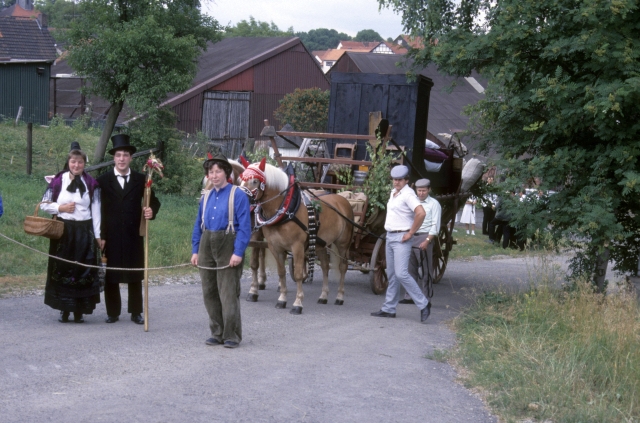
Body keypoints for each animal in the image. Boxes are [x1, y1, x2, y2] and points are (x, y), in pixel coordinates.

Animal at [240, 158, 354, 314]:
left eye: (255, 181)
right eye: (241, 179)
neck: (286, 208)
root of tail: (343, 201)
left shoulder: (297, 247)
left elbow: (299, 273)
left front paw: (298, 303)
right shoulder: (275, 247)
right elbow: (281, 272)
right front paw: (282, 299)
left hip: (343, 244)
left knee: (343, 267)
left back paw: (339, 296)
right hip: (320, 244)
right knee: (325, 266)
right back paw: (323, 296)